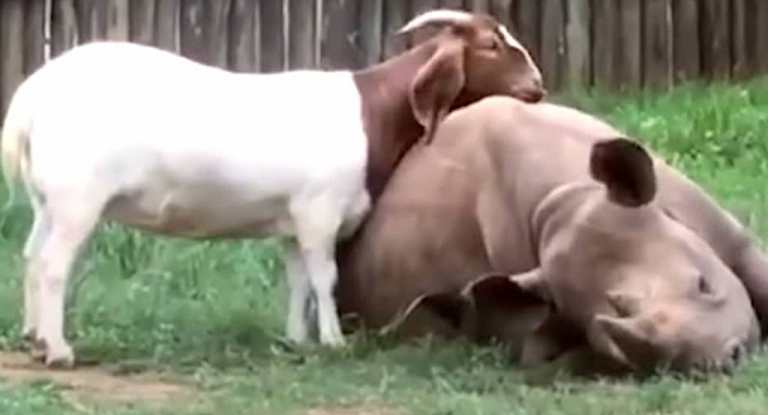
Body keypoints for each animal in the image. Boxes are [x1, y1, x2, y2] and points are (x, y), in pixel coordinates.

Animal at [0, 8, 544, 368]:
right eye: (492, 45)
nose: (537, 87)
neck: (371, 111)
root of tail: (33, 95)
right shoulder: (320, 212)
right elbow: (325, 279)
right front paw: (333, 342)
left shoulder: (293, 220)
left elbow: (299, 280)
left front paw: (297, 340)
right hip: (78, 198)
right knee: (54, 265)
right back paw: (58, 350)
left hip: (47, 199)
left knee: (32, 256)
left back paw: (32, 337)